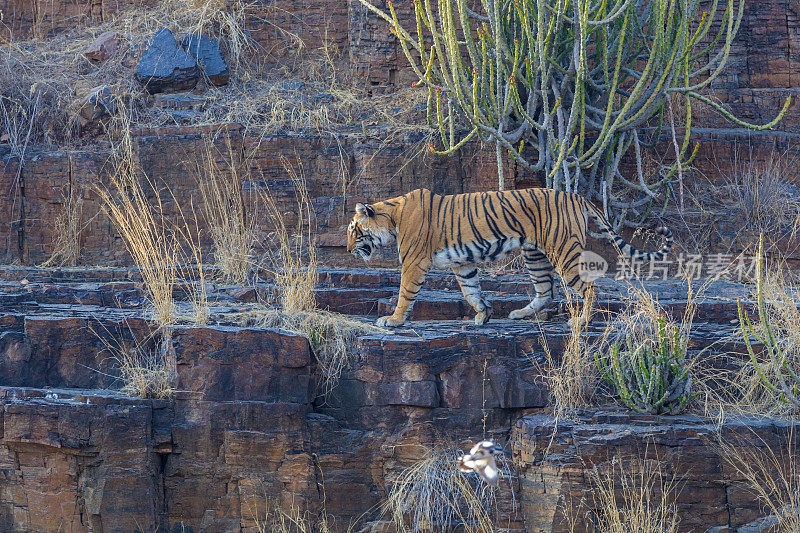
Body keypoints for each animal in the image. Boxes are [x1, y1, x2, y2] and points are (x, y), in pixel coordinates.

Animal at [346, 187, 672, 328]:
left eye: (353, 230)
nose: (348, 250)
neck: (392, 217)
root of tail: (575, 195)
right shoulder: (463, 263)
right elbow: (471, 291)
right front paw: (483, 315)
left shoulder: (414, 262)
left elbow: (405, 294)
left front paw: (393, 320)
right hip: (535, 255)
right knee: (546, 290)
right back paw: (520, 314)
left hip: (563, 251)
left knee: (588, 287)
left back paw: (580, 321)